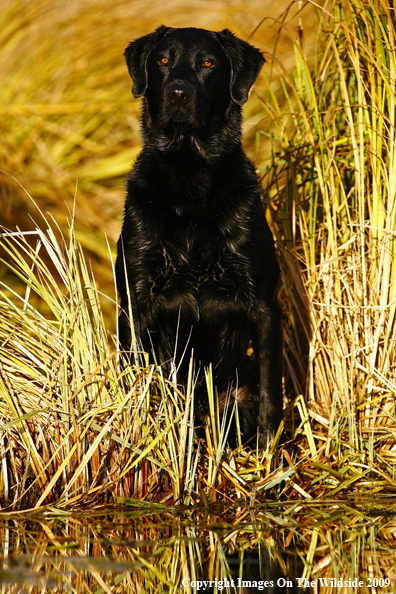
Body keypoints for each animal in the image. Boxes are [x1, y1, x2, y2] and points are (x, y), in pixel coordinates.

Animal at [116, 26, 284, 444]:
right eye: (162, 60)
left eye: (208, 63)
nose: (178, 93)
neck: (189, 168)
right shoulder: (136, 301)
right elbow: (134, 379)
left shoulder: (265, 305)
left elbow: (272, 390)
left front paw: (271, 452)